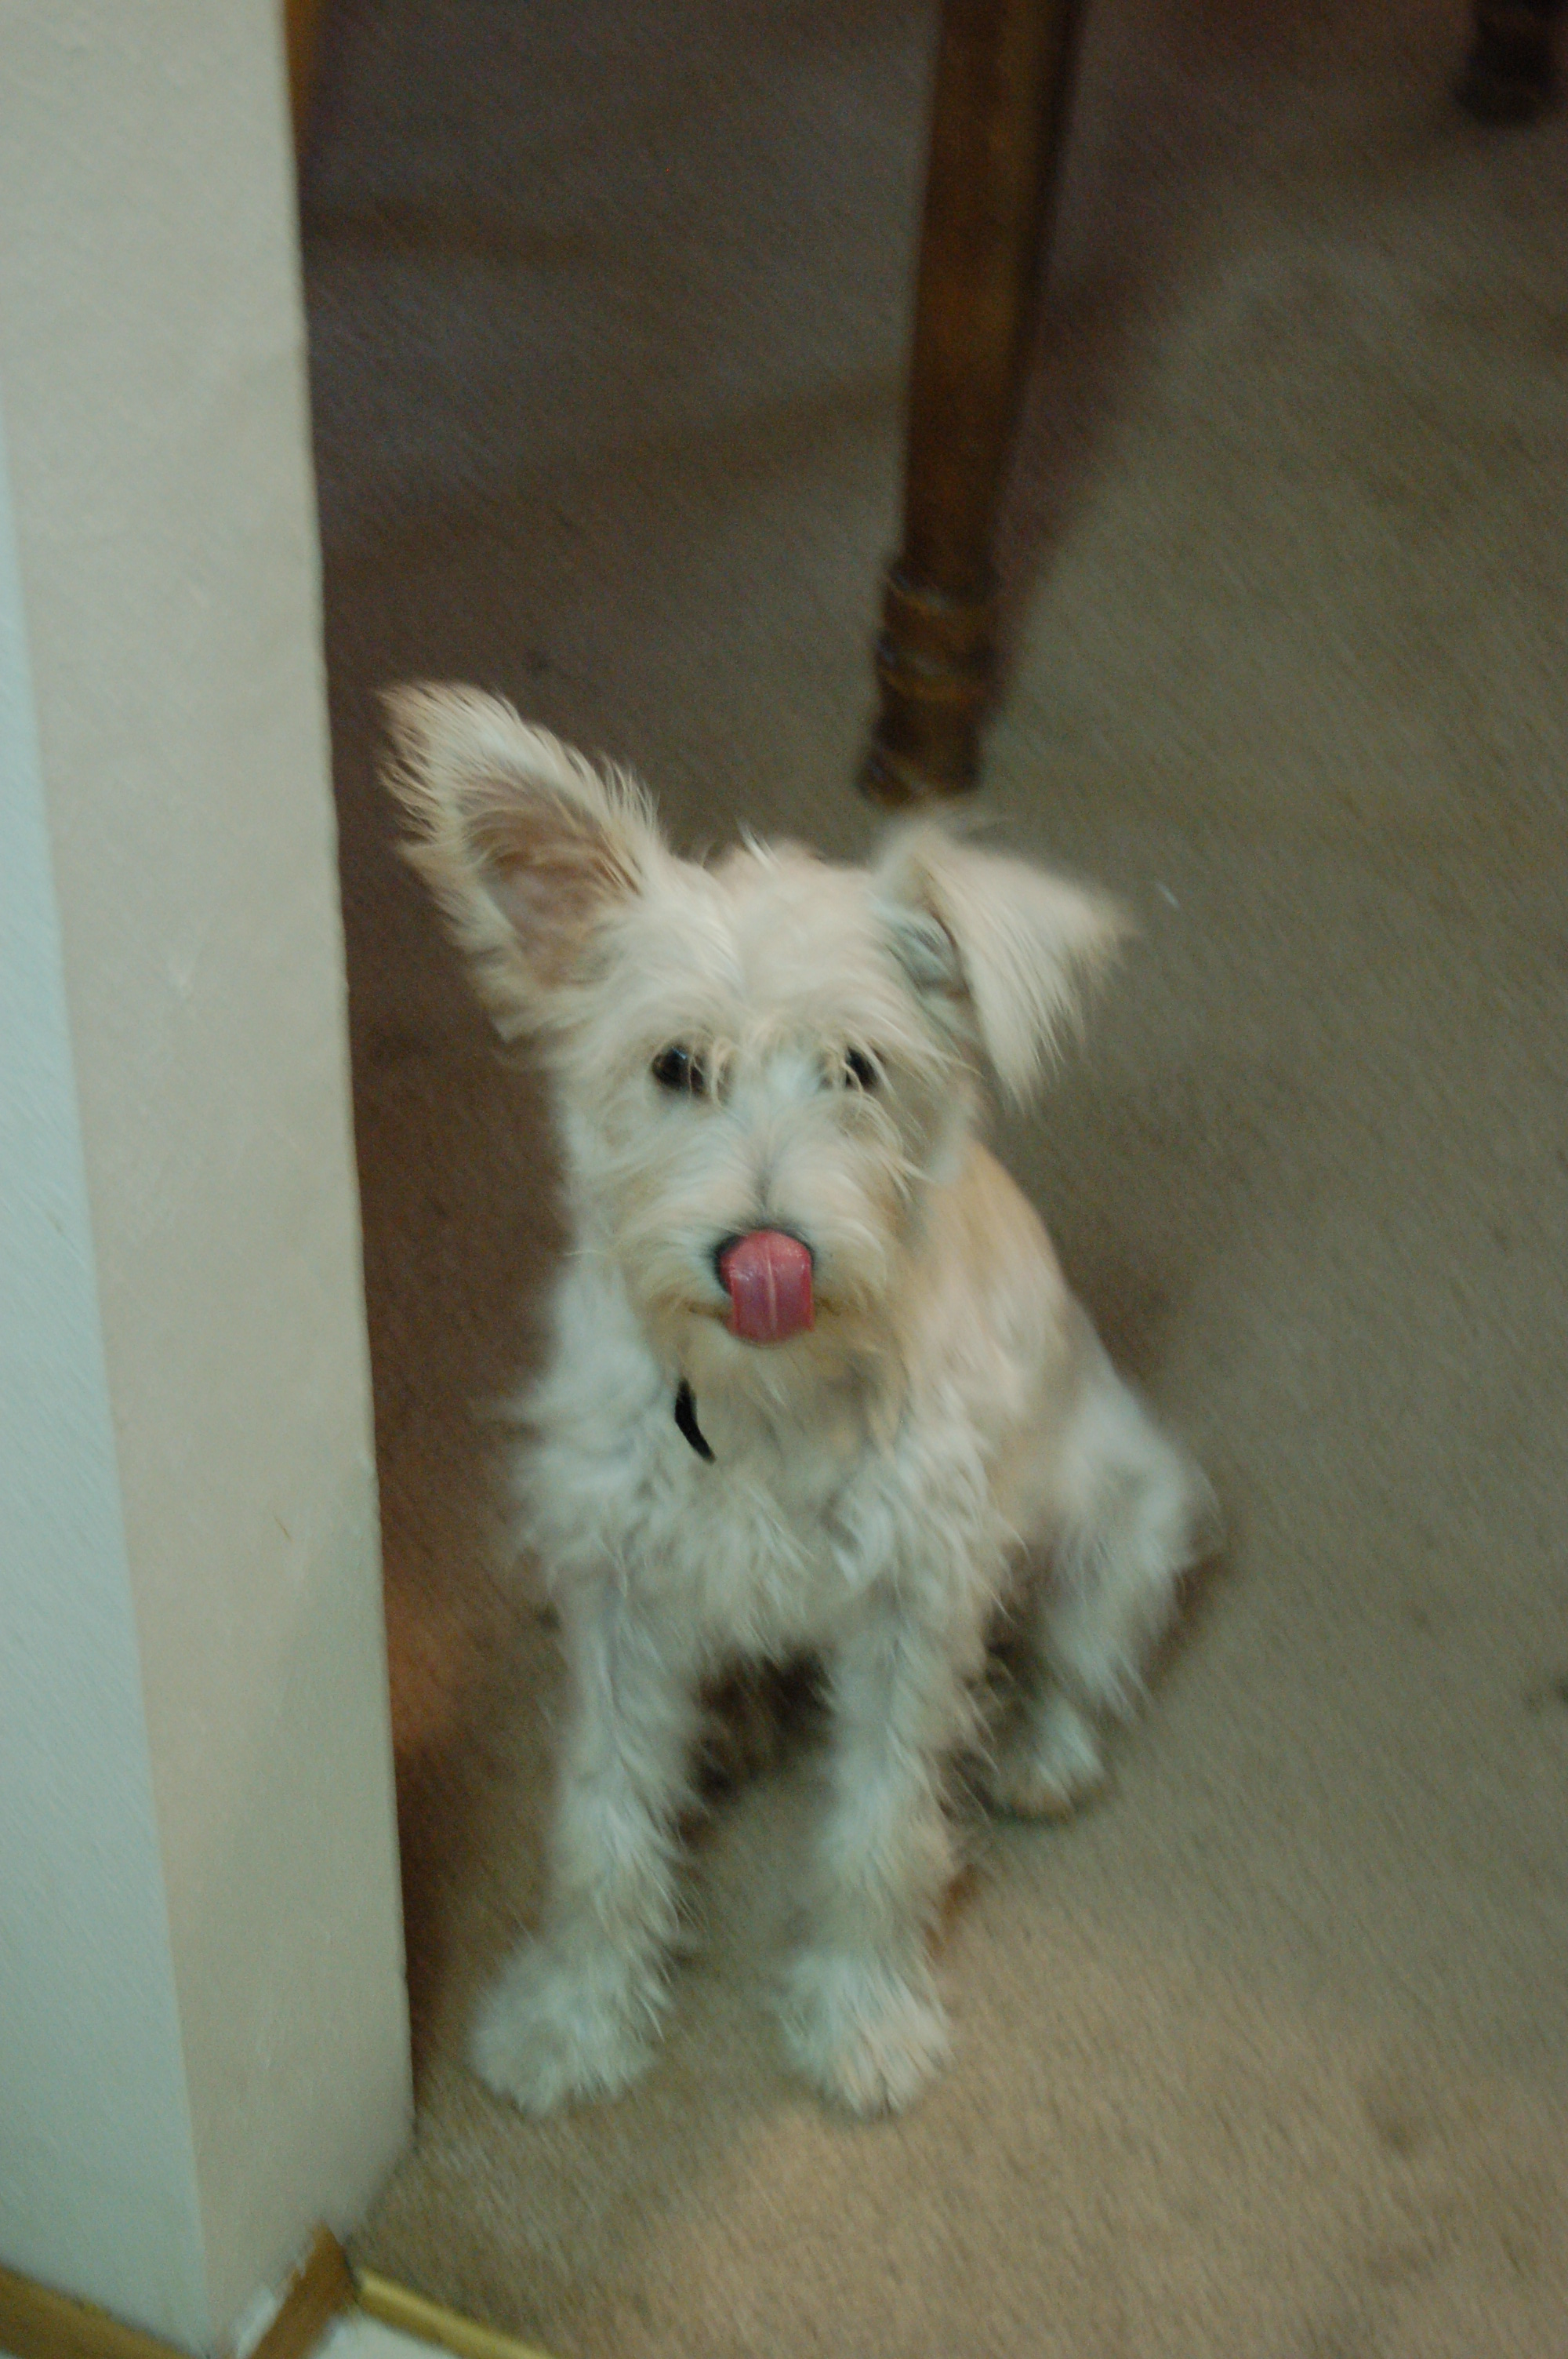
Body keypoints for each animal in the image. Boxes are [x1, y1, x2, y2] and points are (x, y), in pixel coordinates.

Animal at [384, 685, 1213, 2117]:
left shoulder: (913, 1608)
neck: (757, 1404)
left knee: (1077, 1657)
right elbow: (600, 1822)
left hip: (1125, 1519)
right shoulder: (617, 1589)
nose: (763, 1256)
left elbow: (881, 1830)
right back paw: (737, 1725)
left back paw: (1042, 1755)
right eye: (674, 1065)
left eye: (860, 1068)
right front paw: (573, 2017)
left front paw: (863, 2021)